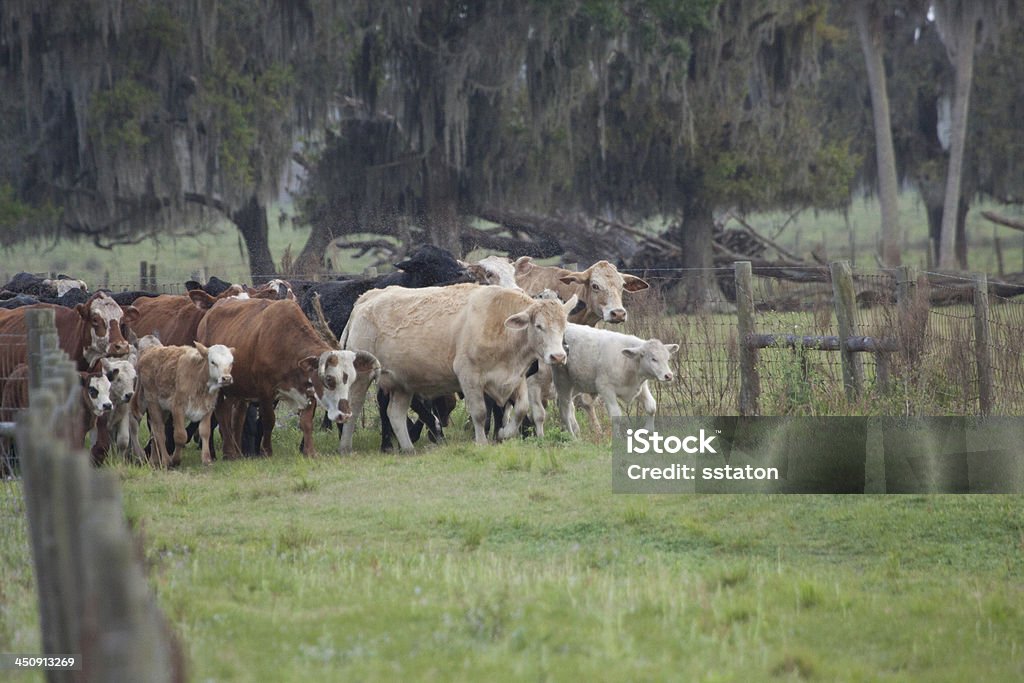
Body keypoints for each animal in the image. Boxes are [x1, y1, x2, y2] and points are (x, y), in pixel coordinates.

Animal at [337, 282, 573, 454]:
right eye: (539, 326)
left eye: (564, 326)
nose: (559, 356)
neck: (498, 323)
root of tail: (368, 297)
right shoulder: (469, 377)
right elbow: (479, 413)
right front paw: (482, 442)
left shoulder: (515, 377)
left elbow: (521, 409)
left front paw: (505, 434)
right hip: (362, 375)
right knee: (354, 407)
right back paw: (345, 447)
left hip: (402, 383)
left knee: (395, 414)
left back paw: (408, 448)